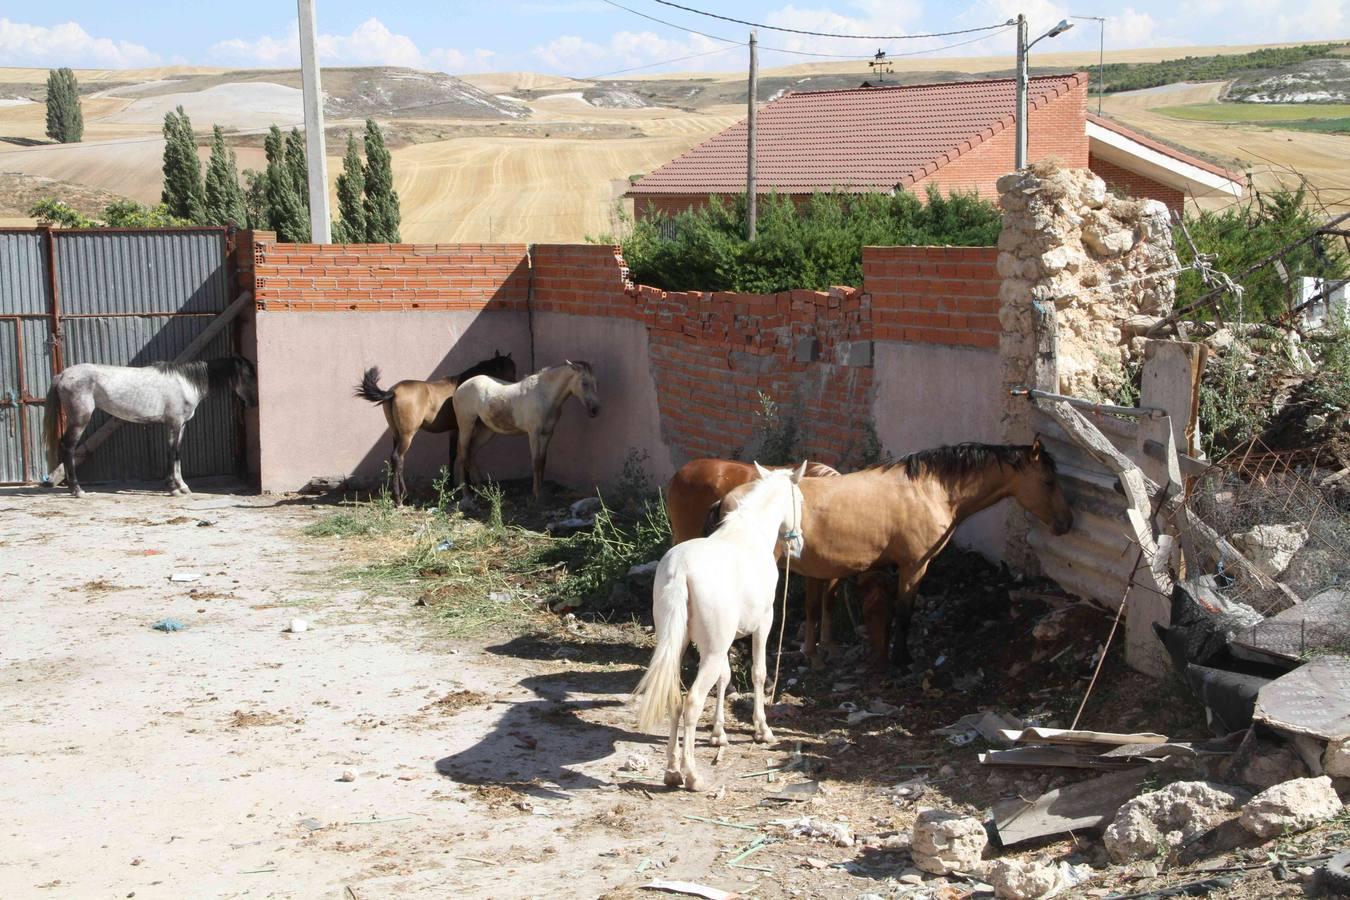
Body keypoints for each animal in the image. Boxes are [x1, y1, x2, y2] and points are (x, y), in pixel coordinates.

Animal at [45, 356, 257, 499]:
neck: (185, 383)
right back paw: (77, 490)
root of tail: (62, 375)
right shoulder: (174, 423)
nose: (253, 403)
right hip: (80, 419)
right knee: (68, 447)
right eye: (247, 375)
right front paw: (173, 488)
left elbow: (177, 454)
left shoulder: (181, 425)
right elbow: (172, 453)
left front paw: (182, 486)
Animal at [353, 348, 515, 504]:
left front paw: (451, 485)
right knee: (397, 458)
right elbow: (463, 453)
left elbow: (452, 454)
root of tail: (393, 391)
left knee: (398, 461)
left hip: (396, 434)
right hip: (407, 435)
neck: (464, 384)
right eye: (509, 371)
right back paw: (399, 498)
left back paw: (404, 496)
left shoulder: (453, 430)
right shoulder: (462, 429)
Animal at [450, 358, 599, 499]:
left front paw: (542, 491)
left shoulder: (547, 433)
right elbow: (536, 461)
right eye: (584, 383)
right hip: (466, 426)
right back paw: (467, 494)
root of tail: (460, 388)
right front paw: (536, 493)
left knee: (472, 451)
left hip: (486, 430)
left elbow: (543, 460)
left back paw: (481, 488)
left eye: (595, 382)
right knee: (462, 455)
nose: (595, 410)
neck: (544, 395)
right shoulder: (533, 433)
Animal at [629, 461, 804, 793]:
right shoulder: (763, 623)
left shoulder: (723, 641)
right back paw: (692, 776)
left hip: (679, 645)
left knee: (676, 699)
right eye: (800, 500)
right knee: (692, 702)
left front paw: (718, 734)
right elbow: (757, 673)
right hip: (709, 652)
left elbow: (725, 678)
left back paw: (672, 772)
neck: (749, 533)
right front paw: (762, 729)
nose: (799, 543)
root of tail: (681, 570)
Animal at [723, 439, 1080, 671]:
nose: (1067, 523)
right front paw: (901, 658)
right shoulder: (914, 566)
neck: (930, 490)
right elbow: (904, 612)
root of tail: (730, 499)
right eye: (1048, 481)